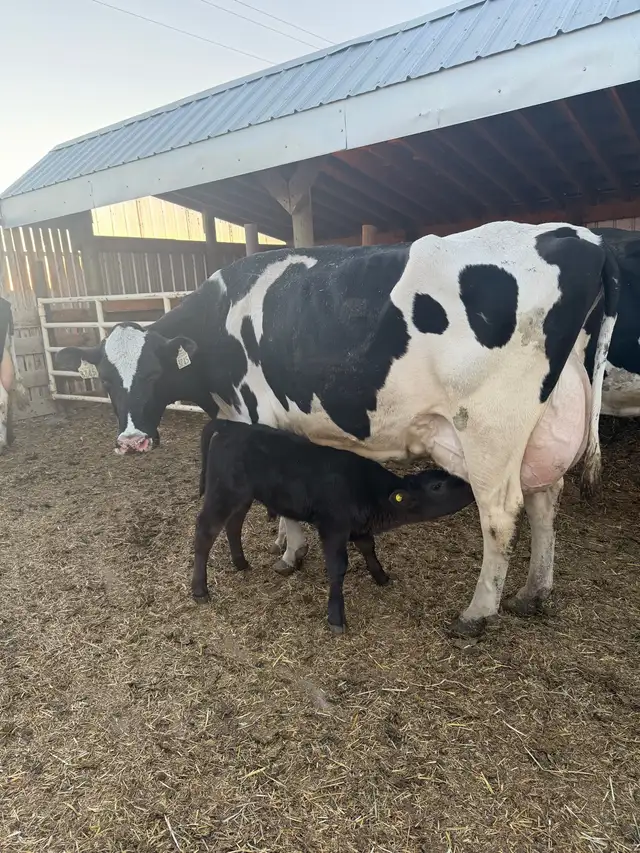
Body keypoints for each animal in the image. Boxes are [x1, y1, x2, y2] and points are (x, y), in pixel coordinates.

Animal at [196, 419, 475, 632]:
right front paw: (336, 617)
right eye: (437, 486)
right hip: (222, 492)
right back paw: (199, 590)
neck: (368, 493)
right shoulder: (333, 528)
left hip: (242, 496)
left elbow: (369, 548)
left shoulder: (358, 527)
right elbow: (338, 568)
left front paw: (381, 576)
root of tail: (230, 425)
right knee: (205, 531)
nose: (470, 484)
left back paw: (240, 562)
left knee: (233, 525)